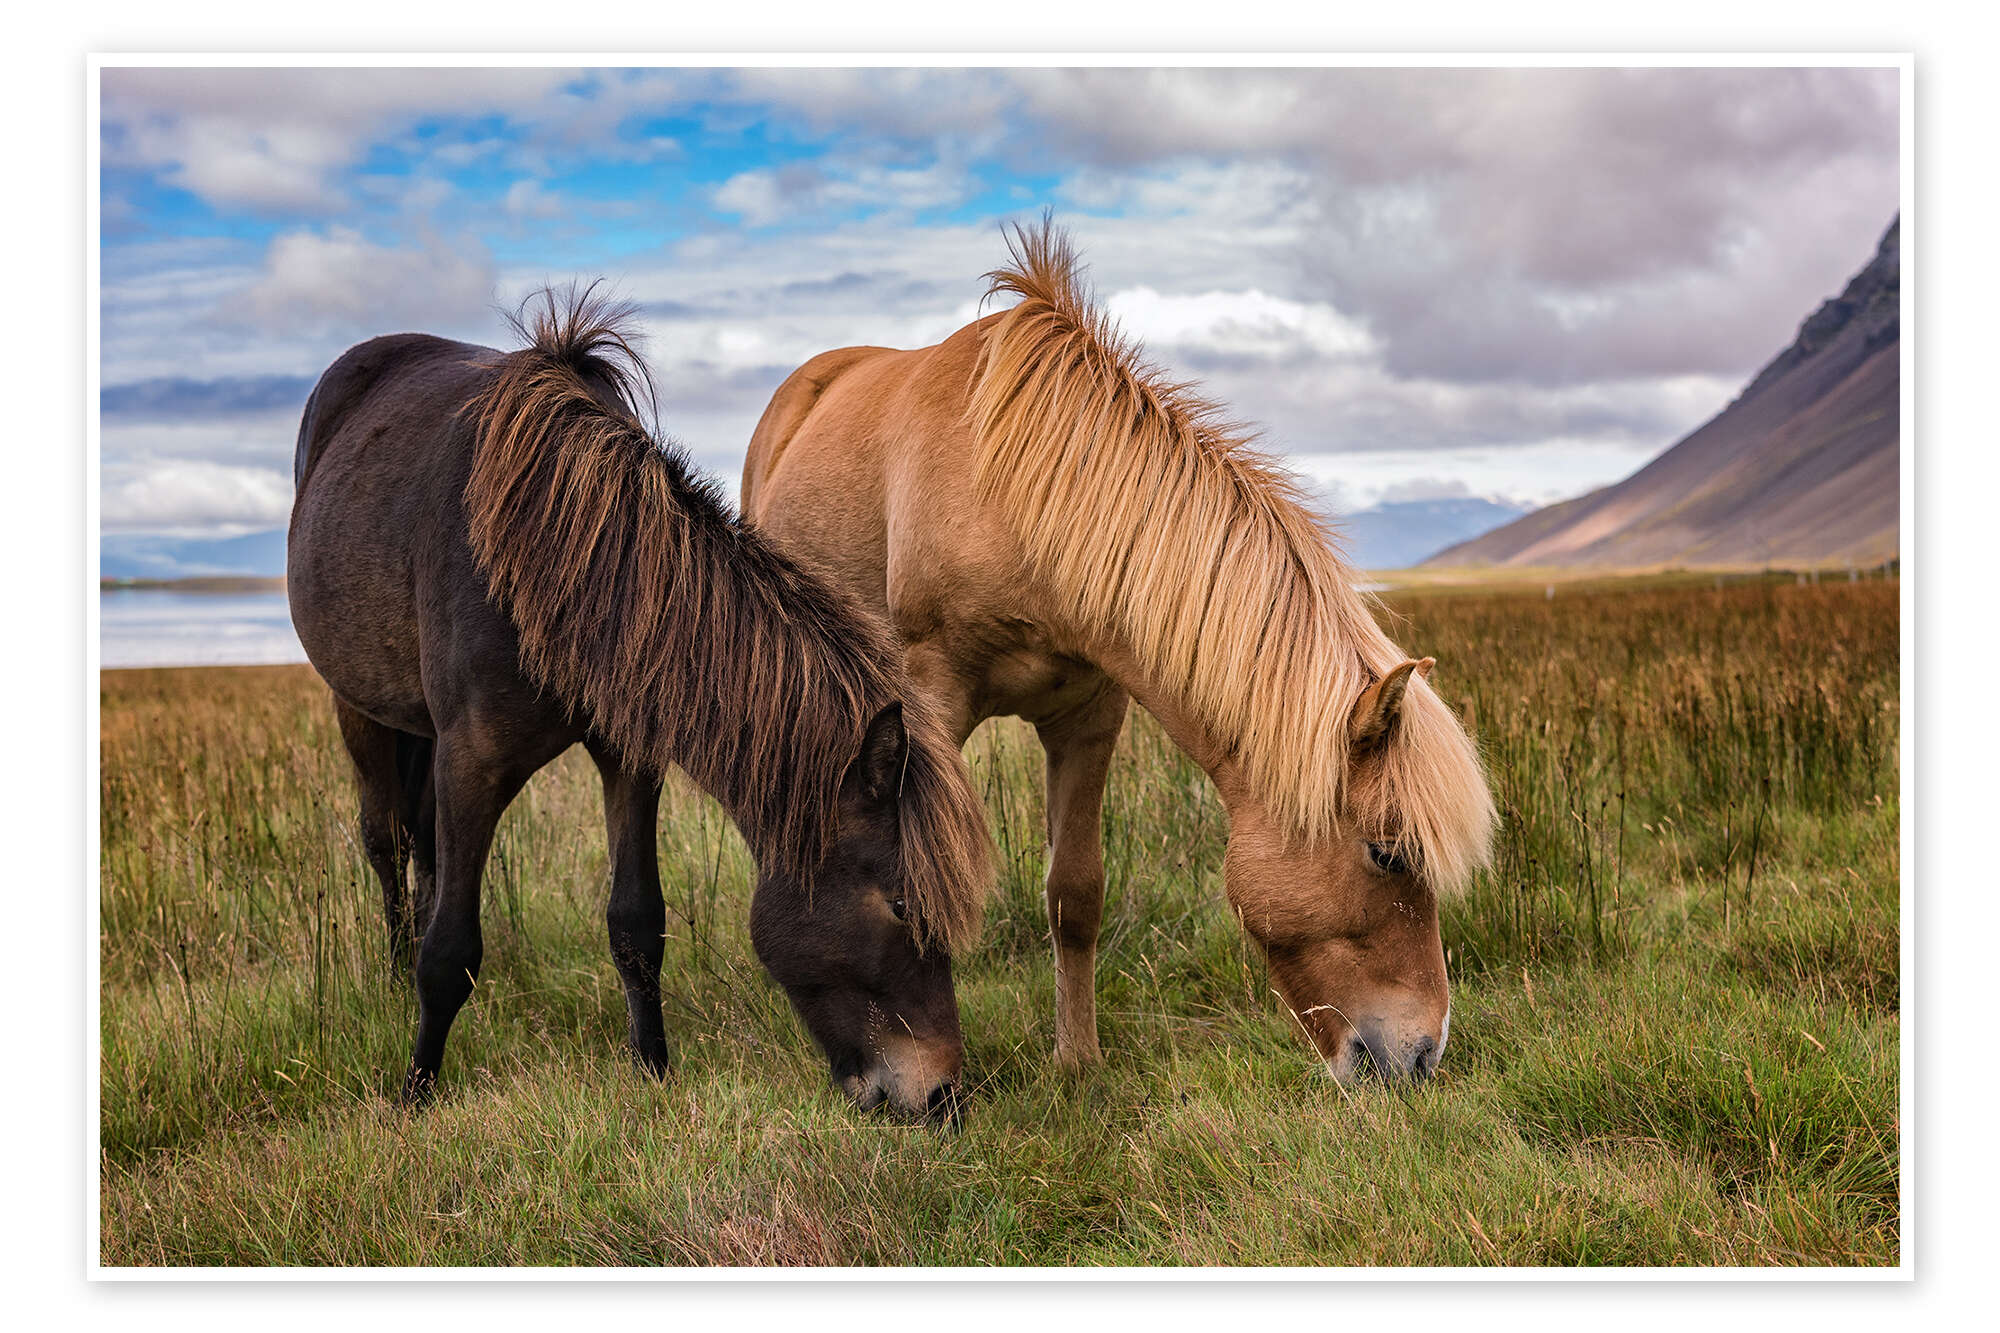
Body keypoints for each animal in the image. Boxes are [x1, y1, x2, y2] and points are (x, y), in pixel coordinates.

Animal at [287, 286, 992, 1119]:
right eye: (903, 907)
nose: (941, 1095)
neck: (554, 561)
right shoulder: (473, 760)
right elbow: (451, 947)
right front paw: (418, 1089)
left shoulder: (627, 756)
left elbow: (636, 922)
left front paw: (652, 1068)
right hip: (358, 708)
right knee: (388, 838)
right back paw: (396, 973)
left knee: (421, 841)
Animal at [741, 220, 1496, 1083]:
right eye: (1387, 852)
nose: (1421, 1054)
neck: (1019, 496)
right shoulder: (931, 702)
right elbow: (927, 874)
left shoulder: (1090, 714)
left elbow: (1075, 895)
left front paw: (1078, 1061)